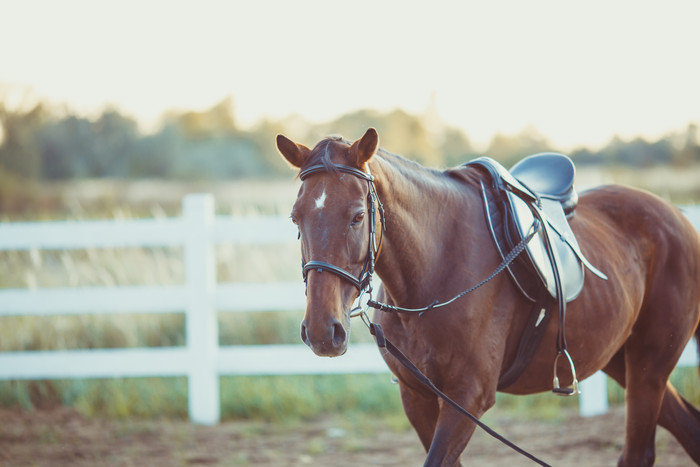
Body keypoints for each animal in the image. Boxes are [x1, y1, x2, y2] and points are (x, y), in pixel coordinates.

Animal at [274, 129, 700, 467]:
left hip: (649, 365)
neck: (433, 272)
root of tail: (677, 215)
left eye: (358, 216)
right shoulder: (418, 397)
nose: (322, 332)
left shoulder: (468, 399)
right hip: (622, 360)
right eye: (296, 217)